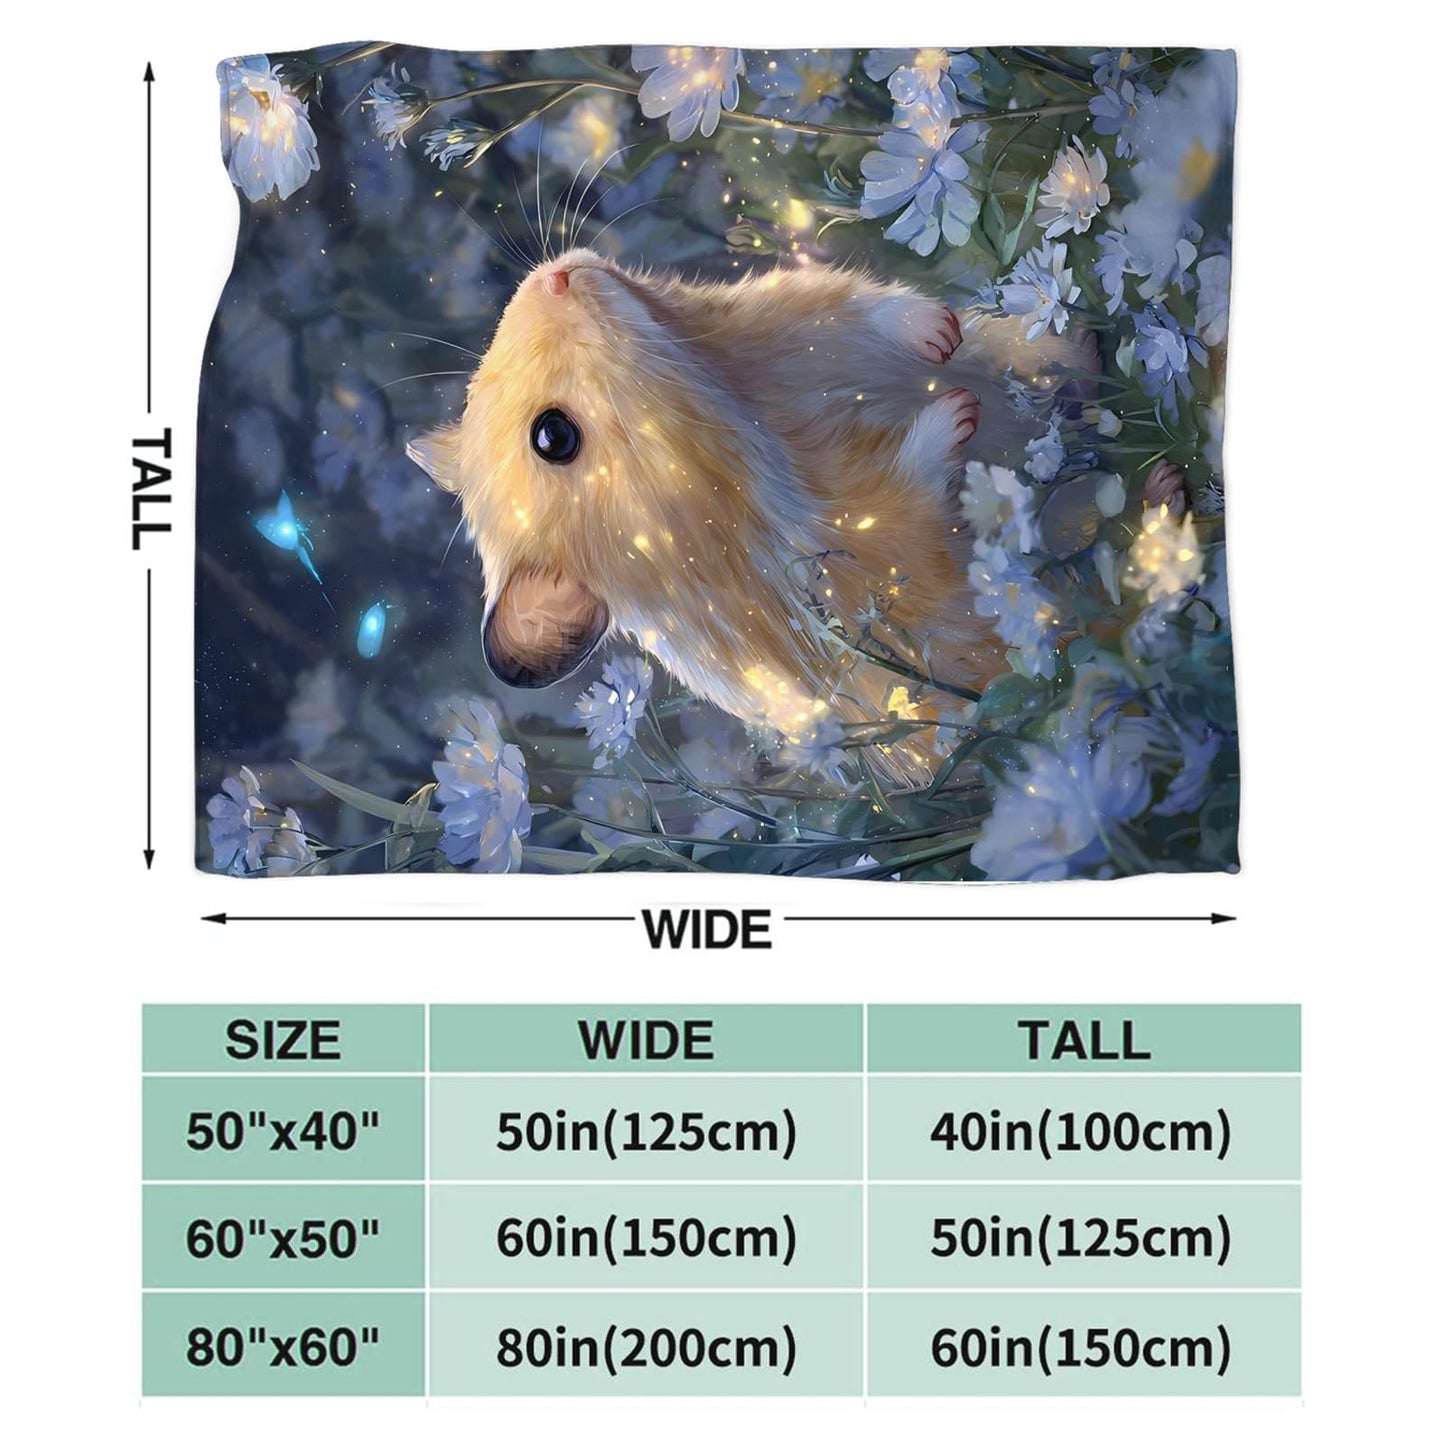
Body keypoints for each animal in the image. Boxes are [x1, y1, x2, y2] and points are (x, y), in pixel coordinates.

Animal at [409, 247, 1081, 785]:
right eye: (553, 437)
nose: (557, 274)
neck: (722, 396)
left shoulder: (779, 314)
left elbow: (855, 302)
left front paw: (941, 335)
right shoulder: (878, 557)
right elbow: (917, 485)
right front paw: (958, 410)